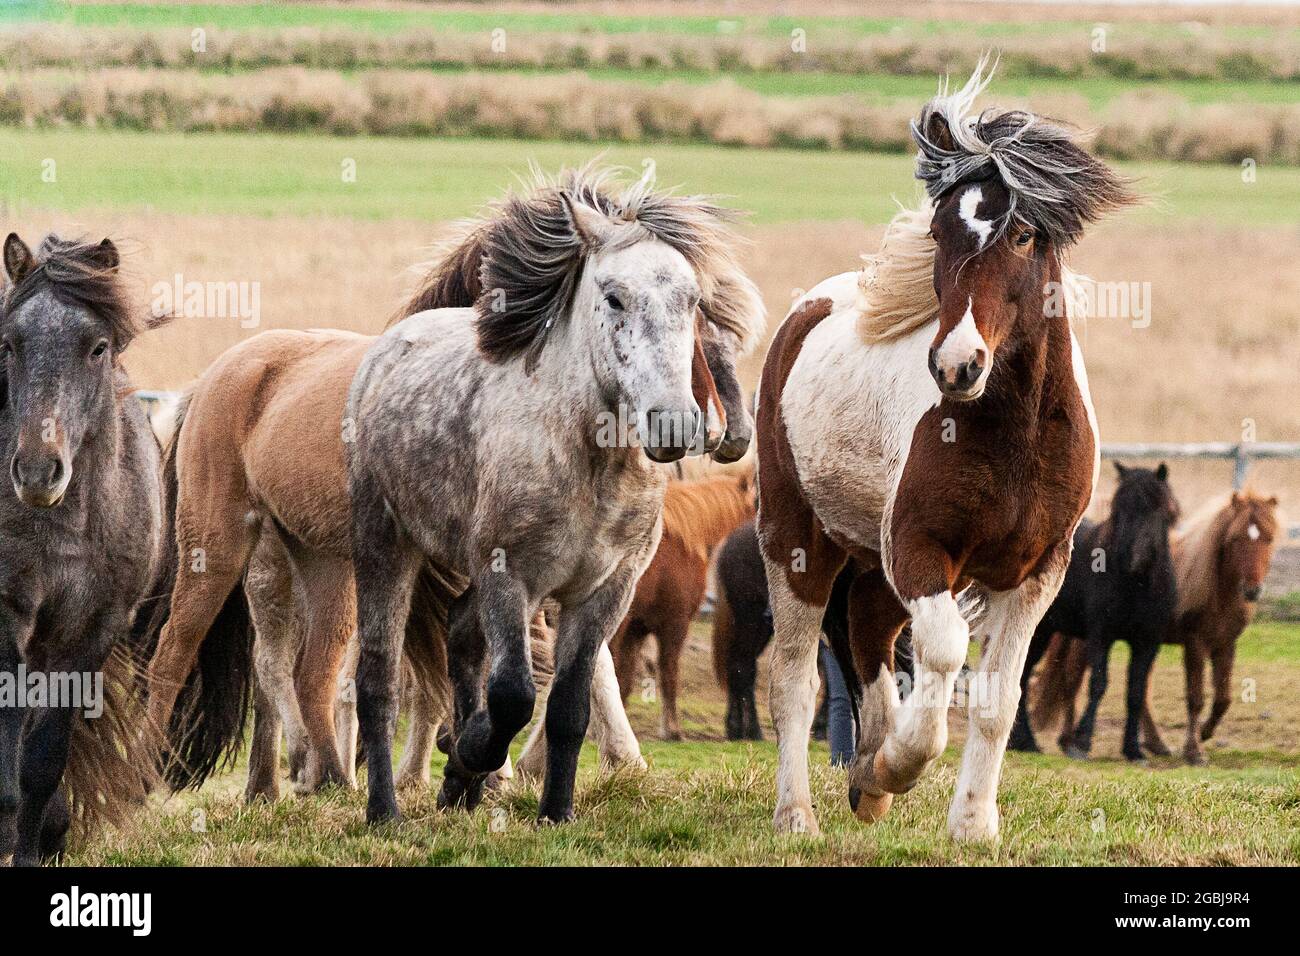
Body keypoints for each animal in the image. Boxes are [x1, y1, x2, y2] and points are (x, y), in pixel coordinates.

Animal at [0, 234, 167, 868]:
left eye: (97, 347)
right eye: (10, 344)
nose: (36, 471)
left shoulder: (88, 634)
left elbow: (41, 764)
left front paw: (32, 850)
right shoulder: (9, 621)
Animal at [759, 59, 1133, 842]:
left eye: (1021, 235)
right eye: (939, 231)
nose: (956, 366)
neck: (1011, 435)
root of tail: (810, 309)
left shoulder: (1035, 573)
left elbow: (997, 698)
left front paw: (971, 822)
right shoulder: (921, 549)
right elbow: (942, 655)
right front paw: (899, 764)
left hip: (872, 564)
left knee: (868, 632)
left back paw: (866, 785)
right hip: (798, 541)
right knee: (793, 680)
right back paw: (800, 813)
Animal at [1008, 463, 1185, 764]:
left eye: (1158, 509)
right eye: (1118, 508)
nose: (1134, 559)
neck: (1137, 585)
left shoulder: (1147, 642)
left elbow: (1135, 691)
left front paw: (1133, 749)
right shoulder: (1102, 635)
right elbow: (1099, 683)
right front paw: (1081, 742)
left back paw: (1024, 743)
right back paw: (1024, 742)